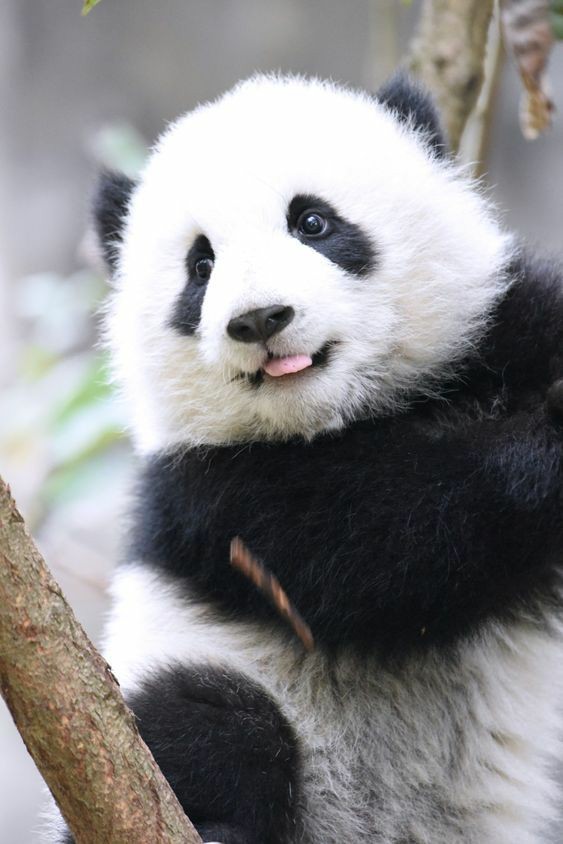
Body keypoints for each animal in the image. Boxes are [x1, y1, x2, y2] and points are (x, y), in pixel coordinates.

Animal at [57, 73, 563, 843]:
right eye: (200, 266)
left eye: (313, 223)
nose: (260, 319)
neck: (345, 417)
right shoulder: (206, 492)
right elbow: (376, 543)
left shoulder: (504, 327)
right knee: (208, 722)